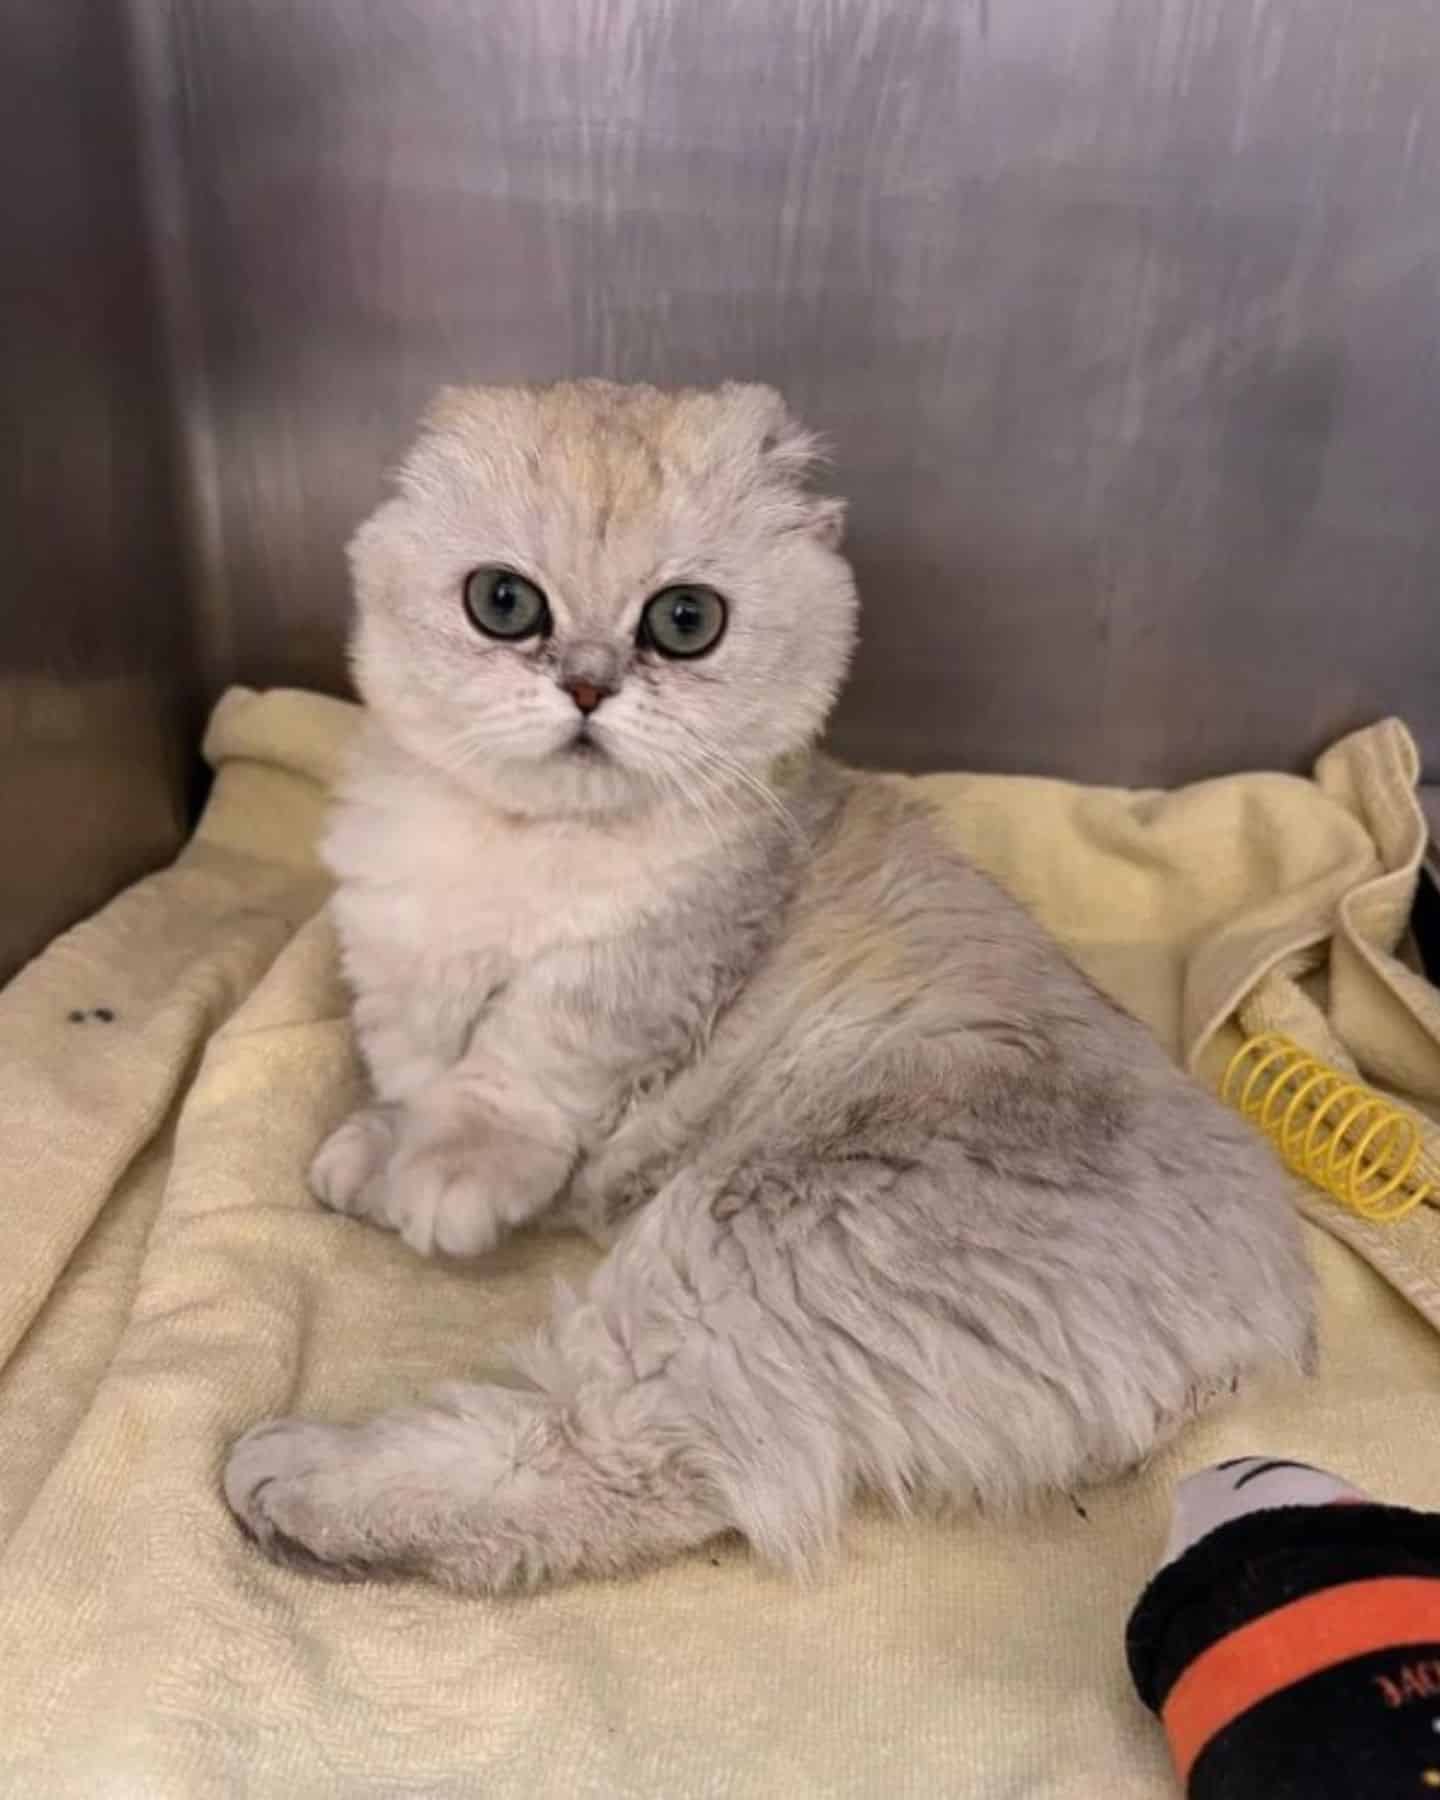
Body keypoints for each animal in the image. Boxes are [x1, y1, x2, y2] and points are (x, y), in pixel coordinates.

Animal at [225, 379, 1317, 1591]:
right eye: (504, 604)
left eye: (683, 622)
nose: (588, 686)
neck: (527, 850)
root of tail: (1264, 1308)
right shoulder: (404, 963)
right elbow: (417, 1069)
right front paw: (377, 1155)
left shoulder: (637, 979)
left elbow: (513, 1075)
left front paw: (441, 1180)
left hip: (765, 1225)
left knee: (613, 1466)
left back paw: (302, 1484)